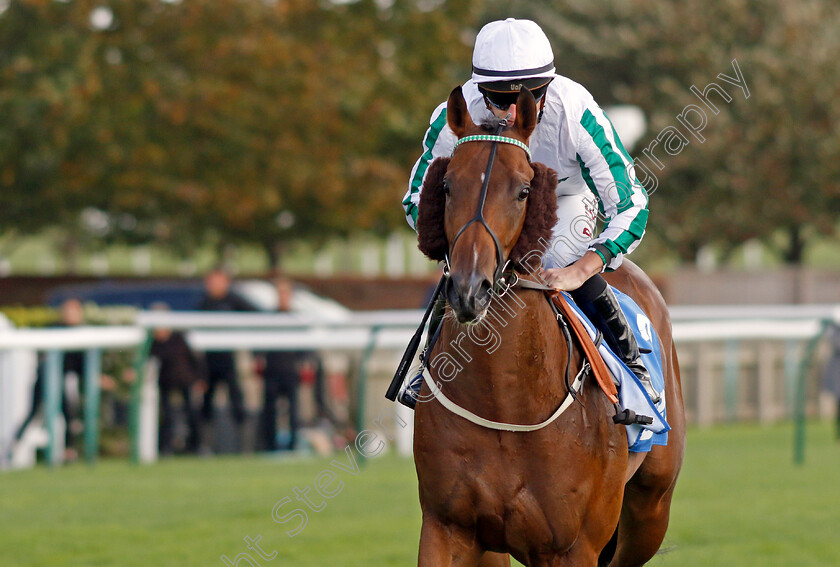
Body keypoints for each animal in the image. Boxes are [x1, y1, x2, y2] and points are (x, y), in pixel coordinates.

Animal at [410, 85, 684, 567]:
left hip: (650, 511)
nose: (470, 289)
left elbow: (629, 201)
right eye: (445, 186)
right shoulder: (447, 528)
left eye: (523, 190)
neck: (504, 403)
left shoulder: (573, 546)